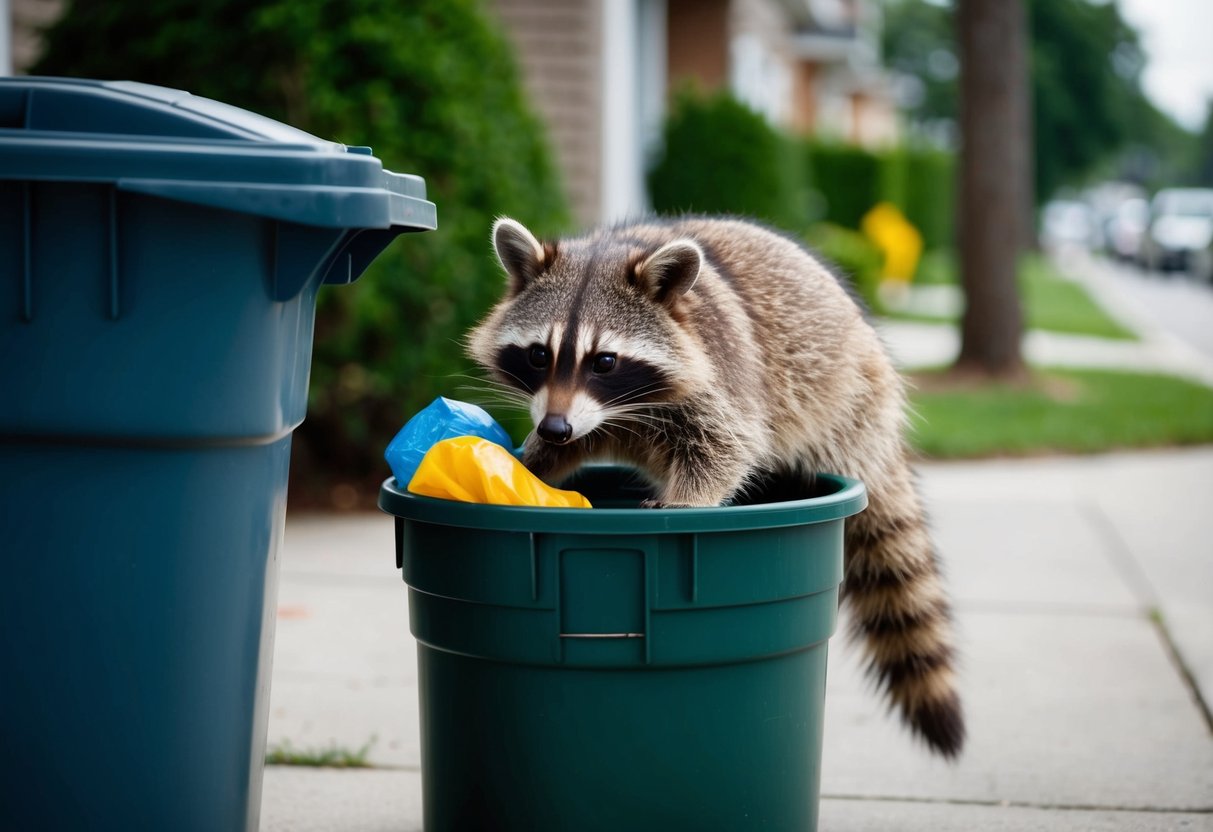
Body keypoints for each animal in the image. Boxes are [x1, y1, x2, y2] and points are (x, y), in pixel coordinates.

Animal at [467, 215, 965, 757]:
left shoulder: (722, 373)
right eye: (539, 355)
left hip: (848, 398)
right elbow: (566, 447)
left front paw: (688, 501)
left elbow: (727, 444)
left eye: (604, 361)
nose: (555, 427)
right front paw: (531, 460)